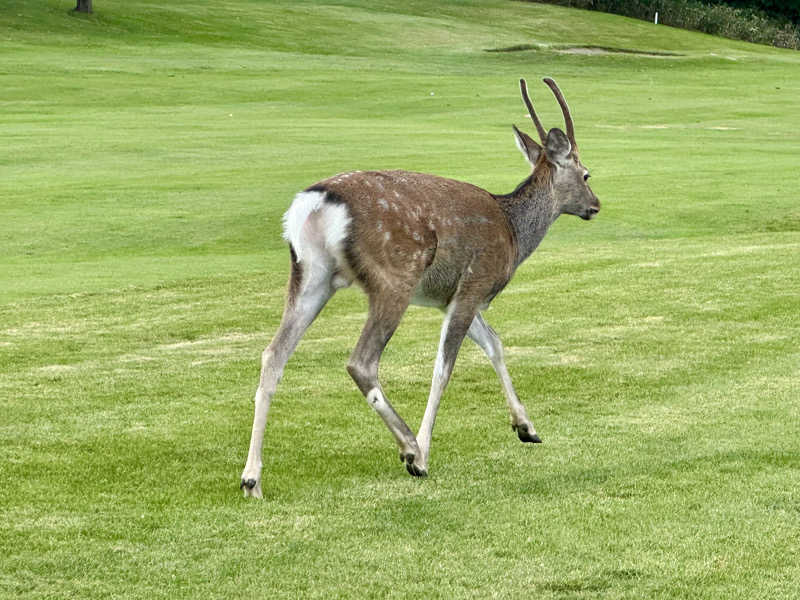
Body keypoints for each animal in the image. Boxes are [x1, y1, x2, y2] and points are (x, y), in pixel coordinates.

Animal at [242, 76, 600, 496]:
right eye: (586, 173)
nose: (595, 205)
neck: (514, 232)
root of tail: (315, 205)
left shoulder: (452, 297)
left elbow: (494, 344)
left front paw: (526, 427)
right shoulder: (474, 282)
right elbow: (443, 367)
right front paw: (424, 452)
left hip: (310, 274)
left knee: (273, 355)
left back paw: (251, 478)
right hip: (394, 275)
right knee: (361, 361)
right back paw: (411, 448)